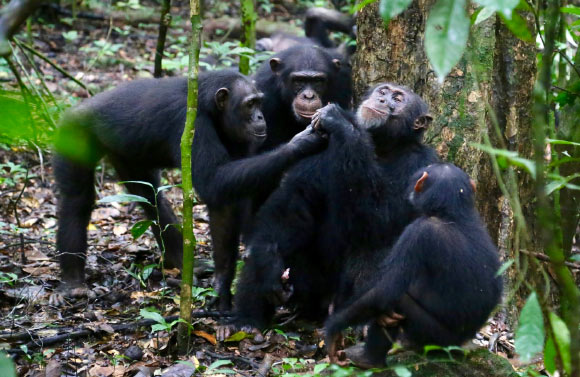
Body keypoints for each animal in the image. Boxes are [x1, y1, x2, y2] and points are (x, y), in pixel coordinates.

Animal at [51, 70, 326, 306]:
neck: (209, 107)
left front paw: (221, 284)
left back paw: (181, 261)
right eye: (250, 104)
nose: (260, 117)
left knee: (152, 198)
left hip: (125, 154)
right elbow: (214, 181)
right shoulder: (190, 123)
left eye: (259, 102)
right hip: (72, 134)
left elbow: (223, 197)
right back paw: (73, 282)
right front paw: (299, 143)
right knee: (77, 200)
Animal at [218, 83, 440, 340]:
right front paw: (268, 263)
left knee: (379, 247)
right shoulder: (320, 152)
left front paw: (339, 119)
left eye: (398, 98)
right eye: (383, 91)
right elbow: (293, 201)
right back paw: (245, 321)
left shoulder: (423, 165)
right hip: (304, 287)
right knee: (269, 242)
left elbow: (385, 219)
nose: (382, 99)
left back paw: (365, 324)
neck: (383, 148)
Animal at [326, 162, 502, 368]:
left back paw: (368, 359)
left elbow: (385, 289)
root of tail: (463, 344)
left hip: (436, 338)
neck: (451, 214)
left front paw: (332, 330)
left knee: (398, 299)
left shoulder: (416, 233)